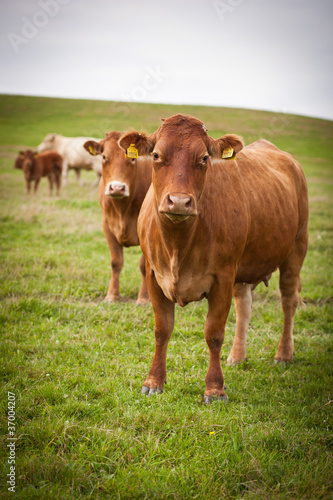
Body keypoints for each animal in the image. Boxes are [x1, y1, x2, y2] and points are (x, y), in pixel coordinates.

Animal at [83, 133, 152, 302]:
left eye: (132, 159)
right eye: (104, 156)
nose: (117, 188)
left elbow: (143, 265)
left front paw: (143, 298)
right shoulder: (107, 225)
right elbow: (116, 262)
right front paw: (111, 295)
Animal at [118, 113, 308, 402]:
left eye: (204, 157)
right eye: (156, 155)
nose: (179, 202)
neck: (178, 245)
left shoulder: (223, 277)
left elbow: (214, 333)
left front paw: (215, 388)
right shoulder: (153, 274)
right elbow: (162, 330)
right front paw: (154, 381)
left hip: (296, 248)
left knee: (288, 300)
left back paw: (283, 354)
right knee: (245, 305)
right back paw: (237, 357)